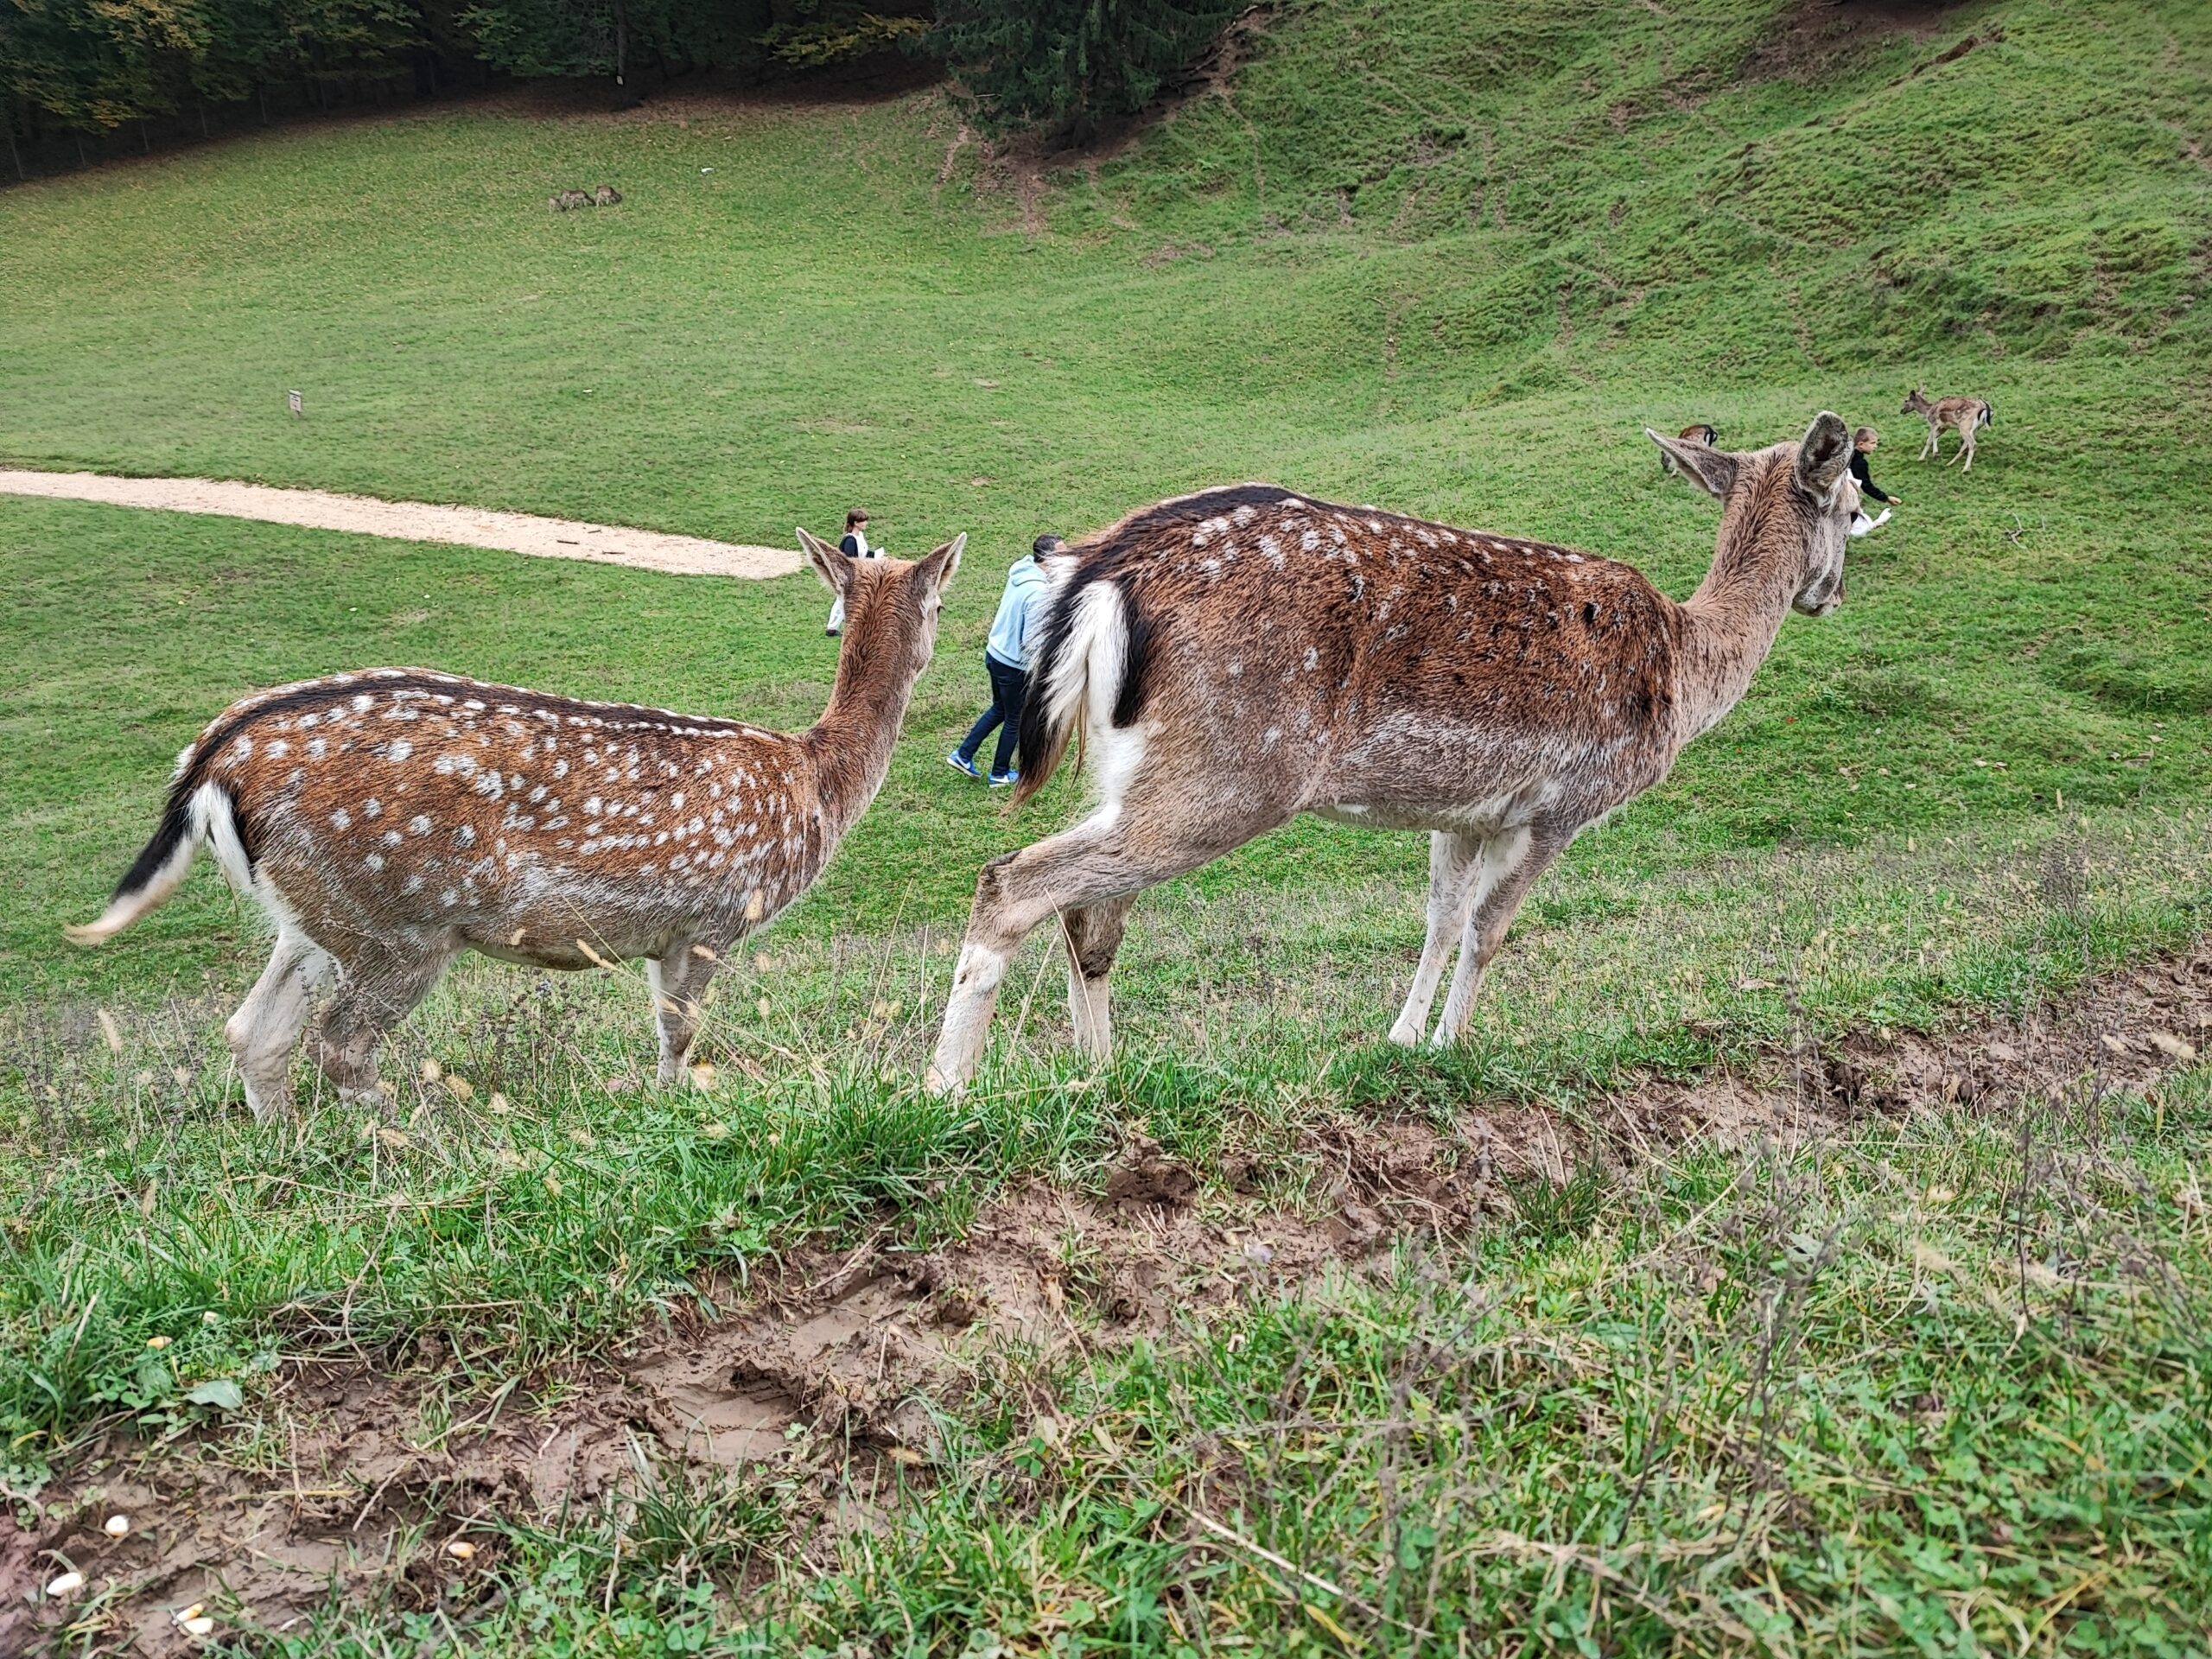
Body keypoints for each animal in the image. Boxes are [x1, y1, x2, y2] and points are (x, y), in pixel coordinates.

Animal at [60, 528, 955, 1132]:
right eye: (944, 601)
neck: (818, 785)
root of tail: (211, 762)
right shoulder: (712, 921)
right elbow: (679, 1036)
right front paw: (670, 1111)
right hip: (400, 924)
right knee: (338, 1041)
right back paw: (412, 1136)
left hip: (313, 914)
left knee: (254, 1031)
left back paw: (288, 1146)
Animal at [925, 416, 1858, 1096]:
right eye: (1853, 508)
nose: (1832, 594)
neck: (1687, 671)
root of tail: (1097, 573)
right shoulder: (1562, 804)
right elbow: (1488, 929)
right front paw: (1453, 1043)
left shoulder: (1466, 811)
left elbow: (1439, 919)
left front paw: (1403, 1039)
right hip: (1230, 772)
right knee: (1015, 881)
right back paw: (946, 1088)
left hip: (1135, 769)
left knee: (1090, 916)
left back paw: (1101, 1073)